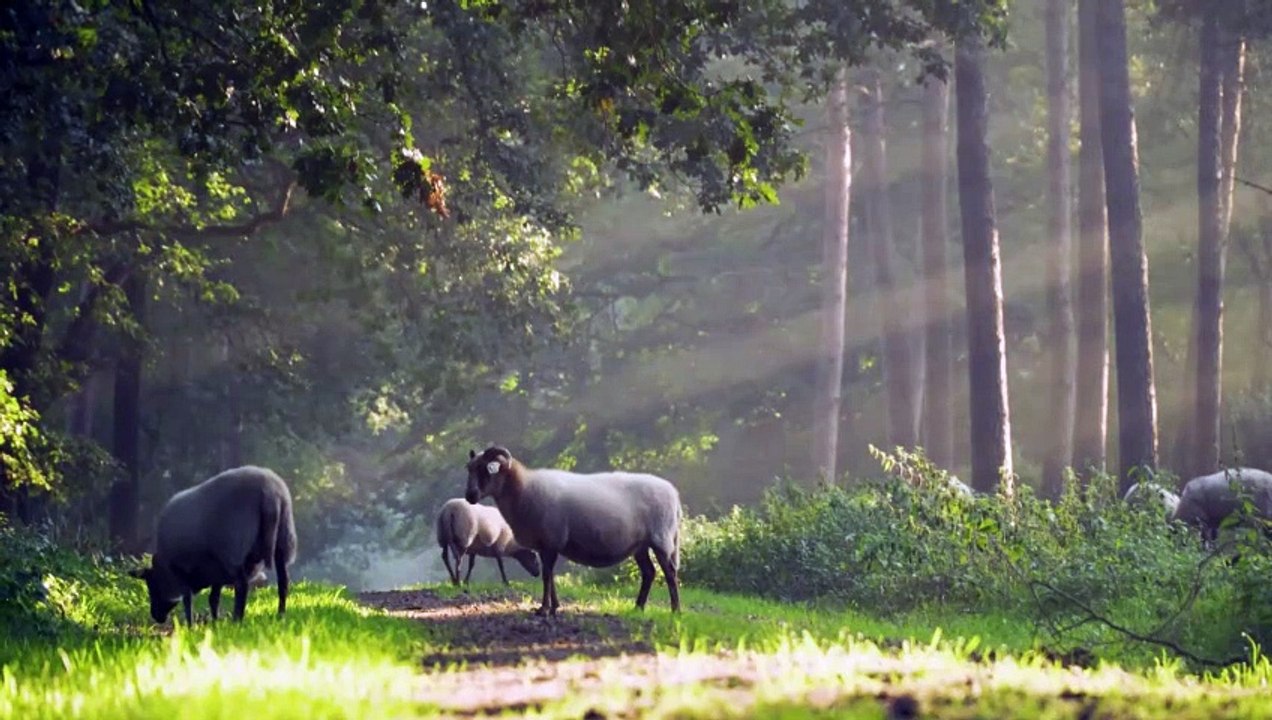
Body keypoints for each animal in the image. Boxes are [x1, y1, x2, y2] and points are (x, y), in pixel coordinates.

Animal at [130, 465, 297, 625]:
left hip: (233, 549)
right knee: (283, 582)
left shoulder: (183, 571)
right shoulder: (217, 571)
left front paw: (191, 626)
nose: (156, 616)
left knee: (242, 585)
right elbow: (213, 599)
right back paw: (281, 615)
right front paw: (215, 623)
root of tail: (270, 493)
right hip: (283, 540)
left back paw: (237, 620)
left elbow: (187, 600)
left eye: (152, 585)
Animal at [464, 445, 681, 616]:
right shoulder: (546, 544)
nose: (470, 496)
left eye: (486, 470)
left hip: (661, 539)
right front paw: (554, 607)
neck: (523, 489)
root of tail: (673, 494)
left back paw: (675, 611)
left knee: (670, 573)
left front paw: (544, 610)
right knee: (649, 572)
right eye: (469, 469)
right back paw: (638, 608)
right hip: (640, 545)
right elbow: (550, 575)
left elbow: (546, 575)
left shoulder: (550, 540)